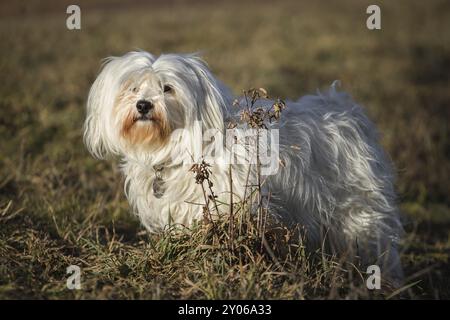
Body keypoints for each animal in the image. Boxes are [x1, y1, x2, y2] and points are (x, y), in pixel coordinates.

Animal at [83, 51, 404, 284]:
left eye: (167, 88)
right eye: (133, 88)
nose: (143, 105)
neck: (179, 148)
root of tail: (344, 110)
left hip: (358, 211)